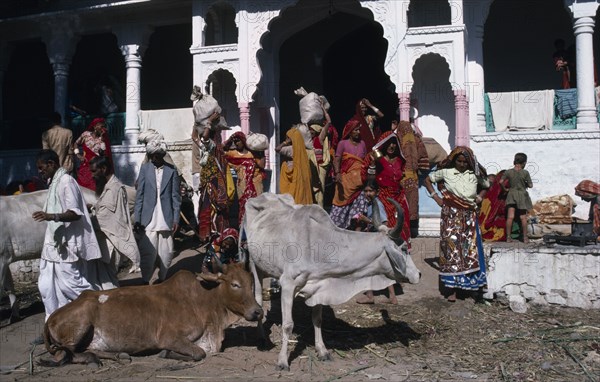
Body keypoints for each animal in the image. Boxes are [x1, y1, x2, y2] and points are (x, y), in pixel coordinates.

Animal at [39, 264, 260, 366]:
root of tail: (51, 317)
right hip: (80, 327)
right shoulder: (169, 337)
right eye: (235, 284)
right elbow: (199, 353)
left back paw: (118, 355)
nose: (257, 311)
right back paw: (92, 359)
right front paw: (165, 353)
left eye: (251, 283)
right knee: (63, 354)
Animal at [241, 194, 420, 370]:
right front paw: (283, 361)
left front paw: (322, 350)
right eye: (404, 248)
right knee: (258, 301)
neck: (319, 244)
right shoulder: (288, 284)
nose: (418, 274)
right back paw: (262, 339)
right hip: (255, 266)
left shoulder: (321, 286)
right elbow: (288, 325)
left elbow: (317, 319)